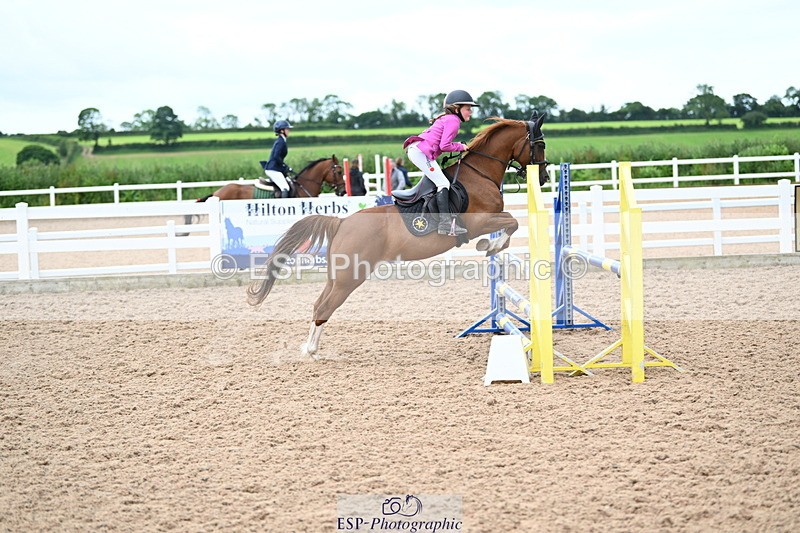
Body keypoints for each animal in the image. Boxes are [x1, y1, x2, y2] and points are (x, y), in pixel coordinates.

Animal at [246, 115, 549, 359]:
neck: (479, 174)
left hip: (338, 275)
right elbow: (511, 223)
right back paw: (310, 351)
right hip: (350, 277)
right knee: (325, 308)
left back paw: (311, 350)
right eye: (541, 144)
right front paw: (490, 245)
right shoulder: (481, 222)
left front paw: (491, 245)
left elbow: (511, 224)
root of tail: (342, 223)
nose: (544, 177)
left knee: (319, 304)